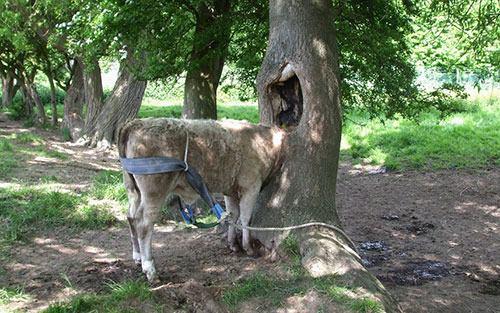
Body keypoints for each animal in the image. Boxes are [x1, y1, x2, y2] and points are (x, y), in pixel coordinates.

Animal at [117, 117, 288, 280]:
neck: (266, 142)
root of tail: (135, 124)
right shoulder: (251, 185)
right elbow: (245, 218)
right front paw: (248, 248)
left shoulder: (230, 190)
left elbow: (233, 215)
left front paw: (233, 244)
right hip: (154, 192)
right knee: (144, 224)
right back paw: (149, 268)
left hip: (133, 190)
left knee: (131, 216)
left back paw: (137, 256)